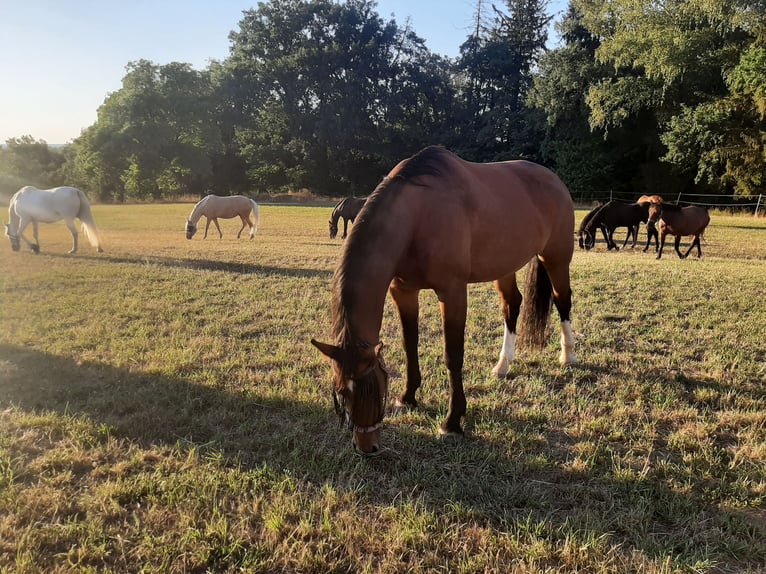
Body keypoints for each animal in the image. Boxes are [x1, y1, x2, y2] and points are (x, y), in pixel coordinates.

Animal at [308, 146, 580, 456]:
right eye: (342, 392)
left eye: (376, 387)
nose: (368, 447)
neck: (418, 215)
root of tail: (553, 179)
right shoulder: (403, 292)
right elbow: (409, 345)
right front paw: (409, 396)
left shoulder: (452, 293)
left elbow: (453, 355)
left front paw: (452, 422)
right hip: (504, 266)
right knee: (512, 304)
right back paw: (503, 365)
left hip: (556, 257)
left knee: (562, 300)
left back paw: (568, 355)